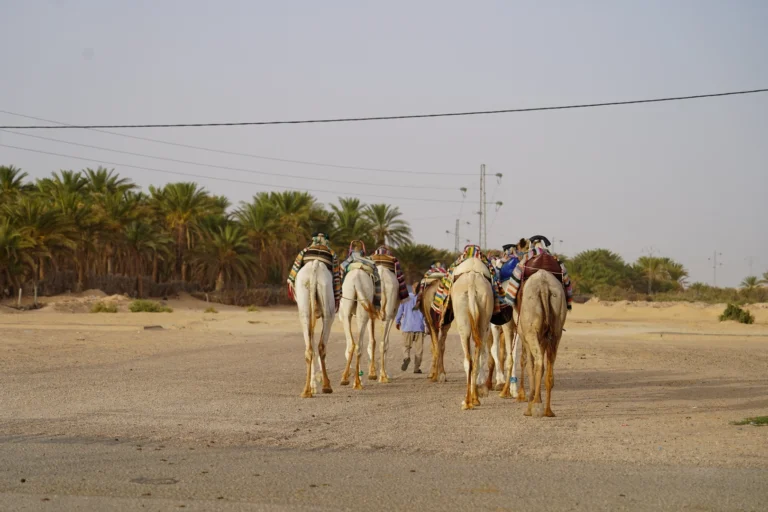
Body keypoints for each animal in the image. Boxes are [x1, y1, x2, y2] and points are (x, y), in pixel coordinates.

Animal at [292, 258, 332, 398]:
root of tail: (315, 266)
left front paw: (313, 386)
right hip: (328, 305)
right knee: (321, 346)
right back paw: (327, 386)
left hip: (304, 303)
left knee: (309, 349)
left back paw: (306, 391)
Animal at [448, 258, 496, 410]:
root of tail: (471, 283)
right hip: (484, 314)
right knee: (476, 359)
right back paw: (474, 399)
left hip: (462, 322)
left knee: (468, 360)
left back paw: (467, 401)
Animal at [512, 270, 568, 418]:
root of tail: (544, 286)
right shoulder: (542, 339)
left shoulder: (525, 337)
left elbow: (527, 364)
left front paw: (530, 404)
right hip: (557, 329)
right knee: (549, 367)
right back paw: (548, 411)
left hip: (531, 329)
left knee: (538, 363)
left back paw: (535, 405)